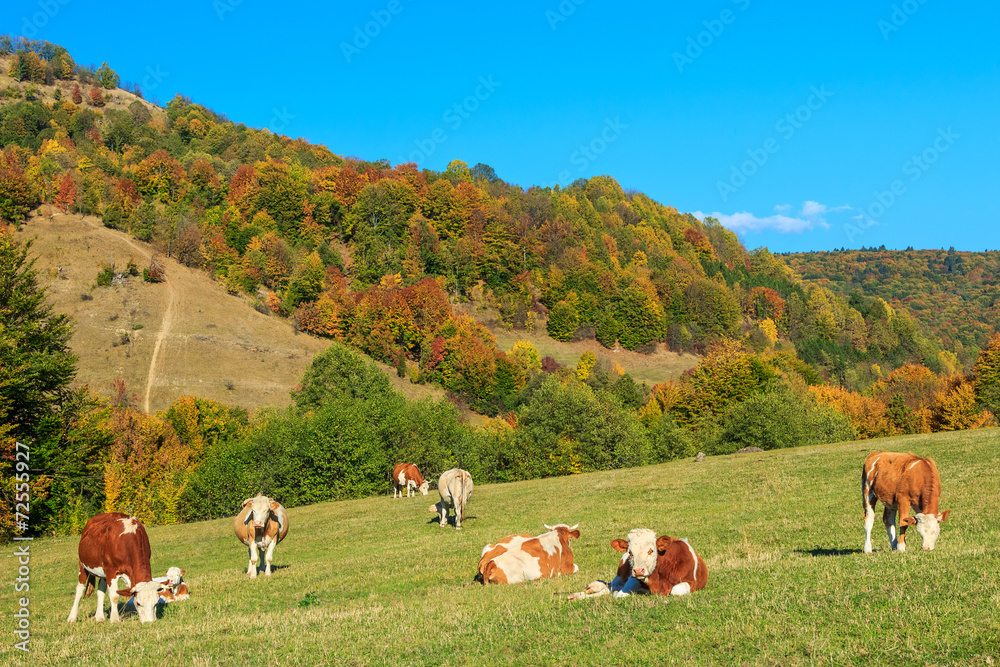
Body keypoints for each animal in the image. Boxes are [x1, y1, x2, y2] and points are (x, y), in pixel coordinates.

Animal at [568, 528, 708, 604]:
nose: (639, 570)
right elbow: (619, 594)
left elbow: (676, 590)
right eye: (630, 552)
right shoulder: (633, 579)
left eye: (651, 550)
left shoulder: (692, 582)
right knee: (612, 585)